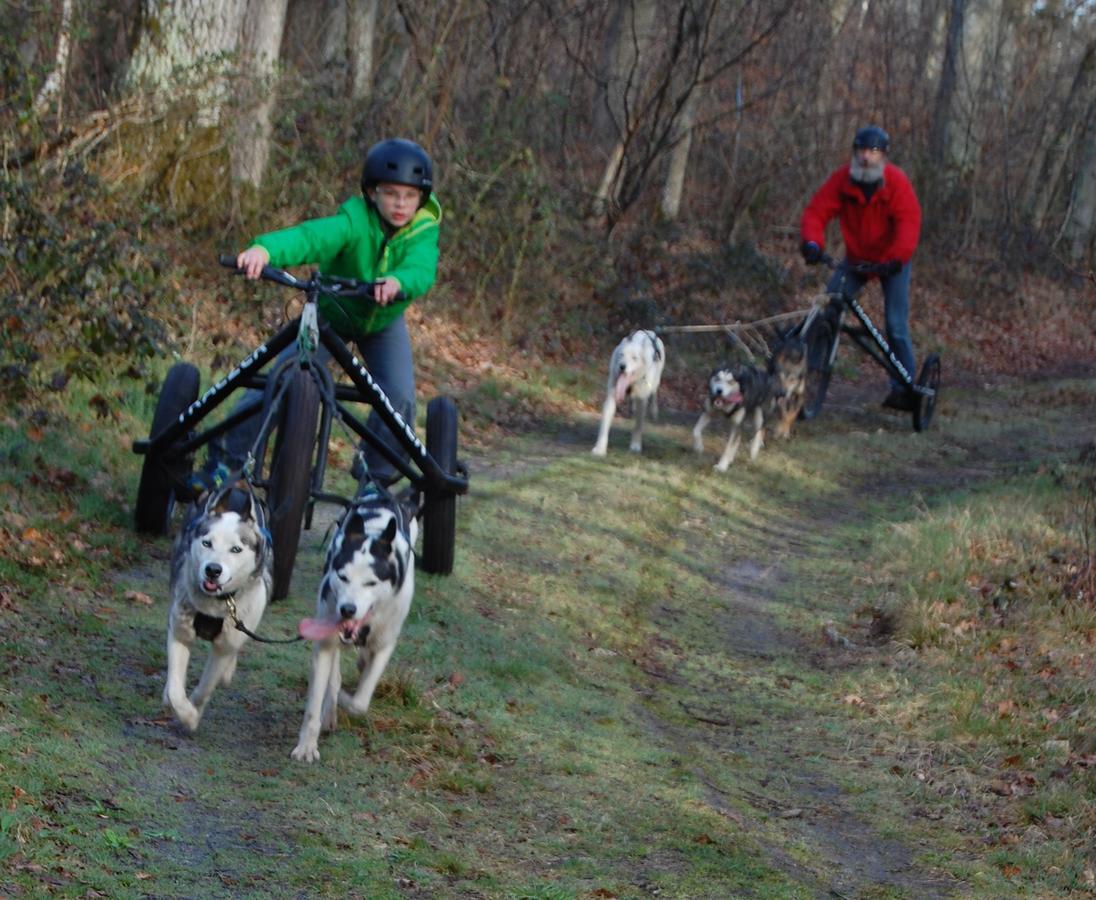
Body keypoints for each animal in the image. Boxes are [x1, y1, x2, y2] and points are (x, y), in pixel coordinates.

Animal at [163, 484, 272, 732]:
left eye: (236, 549)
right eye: (207, 543)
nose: (213, 570)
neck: (216, 603)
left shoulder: (225, 645)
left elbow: (205, 687)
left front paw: (192, 716)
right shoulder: (180, 632)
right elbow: (175, 689)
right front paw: (184, 713)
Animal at [289, 488, 416, 762]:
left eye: (371, 583)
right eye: (343, 576)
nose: (347, 609)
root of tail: (380, 493)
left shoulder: (384, 644)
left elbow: (359, 703)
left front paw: (348, 699)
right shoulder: (326, 641)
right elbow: (318, 697)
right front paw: (307, 745)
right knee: (334, 677)